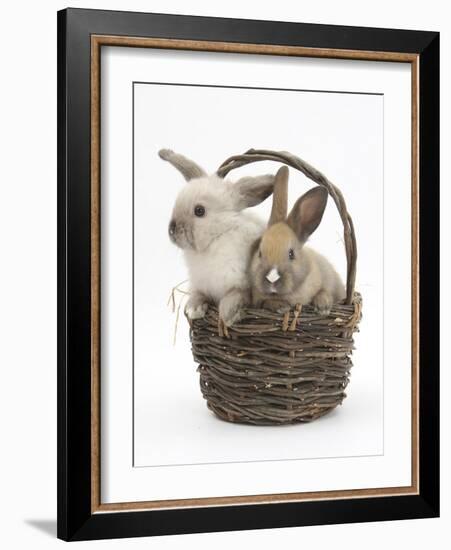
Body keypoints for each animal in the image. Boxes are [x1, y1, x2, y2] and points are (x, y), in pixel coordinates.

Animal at [161, 149, 278, 326]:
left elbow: (236, 295)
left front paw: (228, 316)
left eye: (199, 211)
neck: (217, 237)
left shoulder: (242, 285)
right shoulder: (201, 285)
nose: (172, 229)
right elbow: (198, 295)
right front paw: (194, 310)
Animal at [251, 166, 346, 316]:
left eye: (291, 254)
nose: (272, 278)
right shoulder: (257, 301)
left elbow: (323, 291)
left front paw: (323, 307)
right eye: (260, 253)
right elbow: (265, 302)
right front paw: (281, 307)